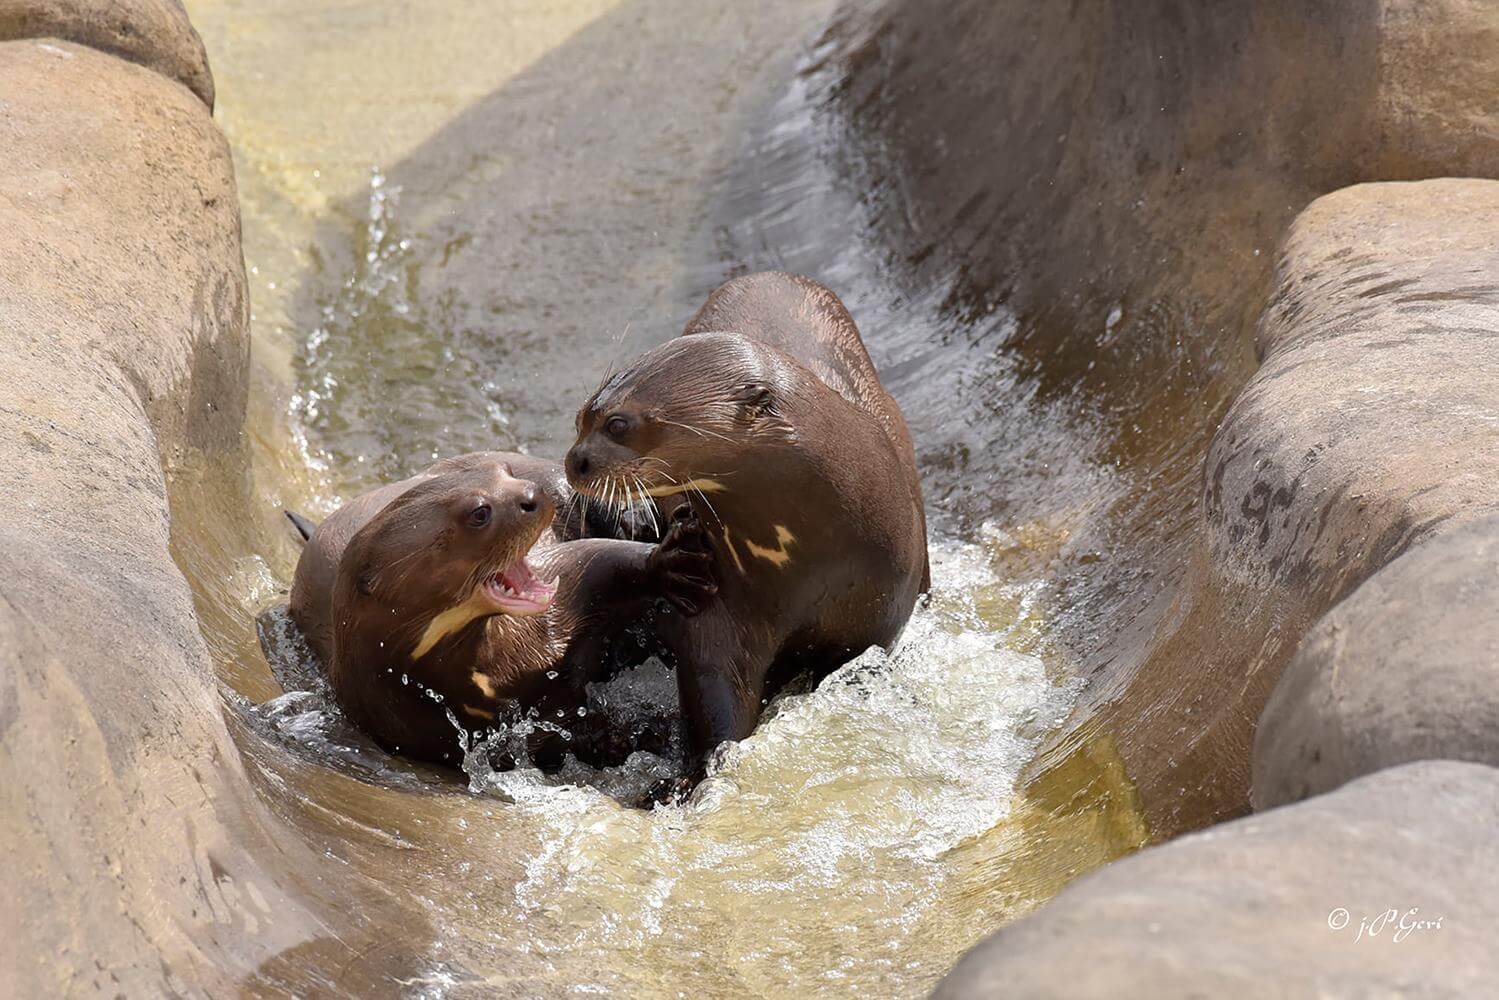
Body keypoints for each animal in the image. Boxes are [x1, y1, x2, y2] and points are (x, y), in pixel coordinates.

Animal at [293, 452, 719, 767]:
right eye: (479, 512)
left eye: (506, 474)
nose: (533, 494)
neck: (498, 669)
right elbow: (549, 739)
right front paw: (631, 734)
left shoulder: (566, 587)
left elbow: (604, 562)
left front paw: (673, 564)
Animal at [563, 269, 923, 773]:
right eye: (581, 418)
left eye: (618, 424)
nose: (574, 460)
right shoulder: (723, 605)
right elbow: (714, 687)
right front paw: (702, 771)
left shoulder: (876, 619)